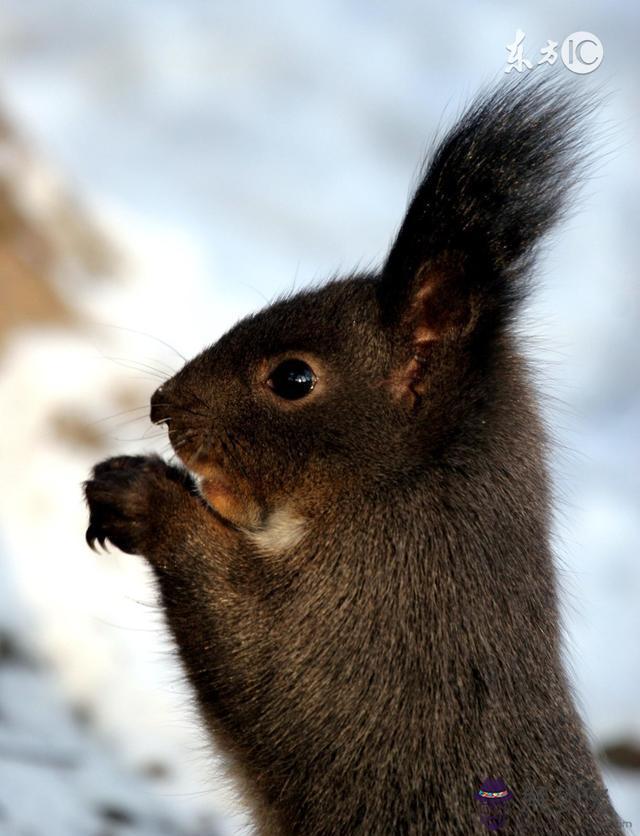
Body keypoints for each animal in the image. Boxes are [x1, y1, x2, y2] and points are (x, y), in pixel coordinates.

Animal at [84, 75, 624, 832]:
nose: (163, 405)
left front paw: (144, 497)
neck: (403, 486)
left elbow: (267, 659)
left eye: (293, 378)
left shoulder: (381, 616)